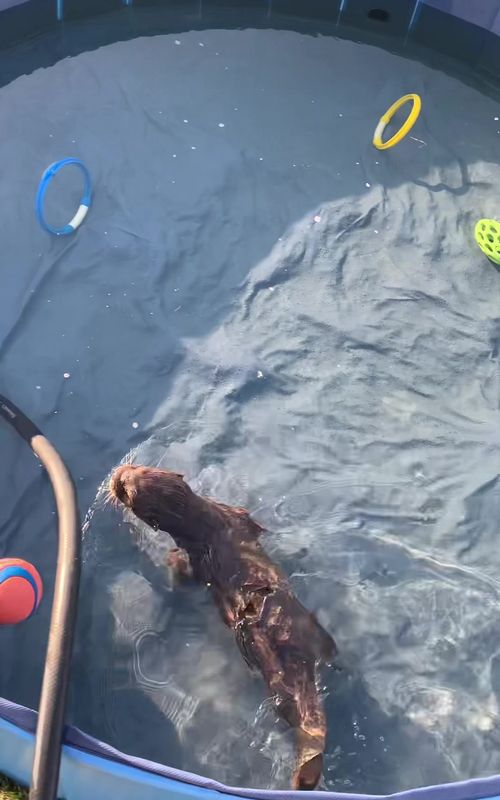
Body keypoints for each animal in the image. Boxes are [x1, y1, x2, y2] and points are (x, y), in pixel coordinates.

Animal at [109, 464, 336, 789]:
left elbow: (180, 572)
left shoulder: (194, 554)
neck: (207, 523)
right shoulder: (235, 513)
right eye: (141, 468)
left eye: (128, 491)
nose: (119, 474)